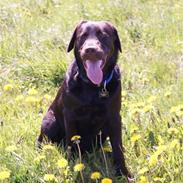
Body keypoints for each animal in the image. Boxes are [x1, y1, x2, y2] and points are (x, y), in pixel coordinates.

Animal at [37, 21, 132, 179]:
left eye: (103, 35)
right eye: (82, 36)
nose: (90, 50)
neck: (93, 87)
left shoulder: (114, 117)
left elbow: (118, 147)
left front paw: (123, 173)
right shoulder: (70, 116)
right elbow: (72, 143)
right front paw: (73, 166)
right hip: (49, 121)